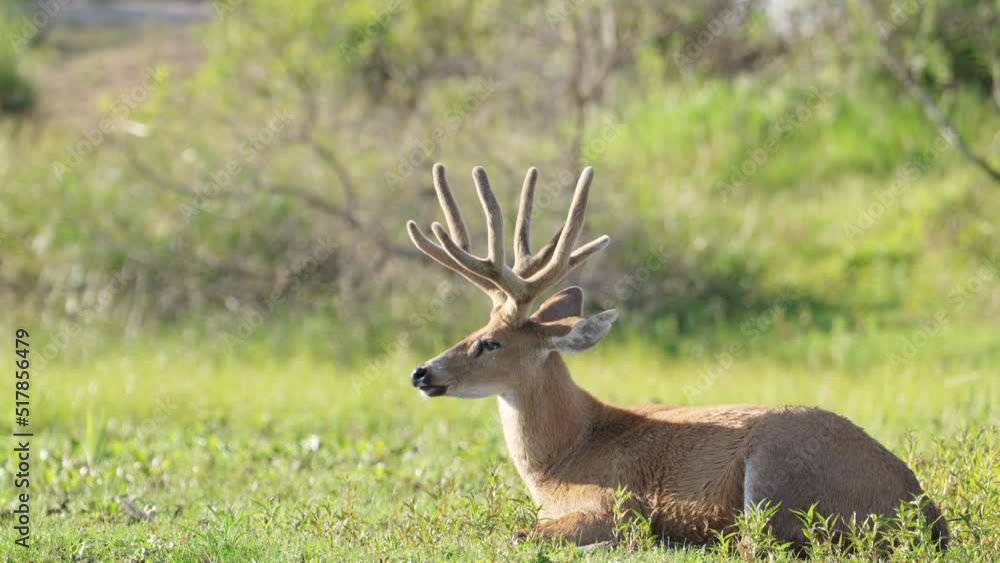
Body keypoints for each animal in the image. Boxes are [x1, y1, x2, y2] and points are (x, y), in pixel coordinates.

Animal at [405, 163, 949, 550]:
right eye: (475, 330)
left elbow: (522, 535)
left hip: (778, 474)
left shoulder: (613, 503)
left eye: (490, 342)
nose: (422, 372)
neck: (563, 458)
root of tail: (925, 513)